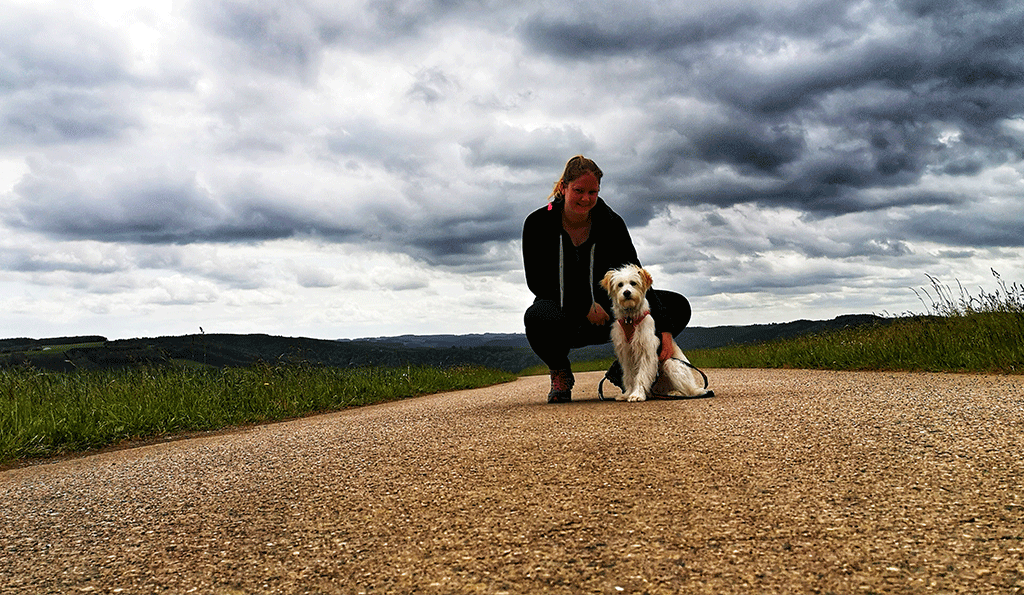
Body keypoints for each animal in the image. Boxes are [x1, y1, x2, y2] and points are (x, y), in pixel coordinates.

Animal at [598, 266, 712, 401]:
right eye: (620, 284)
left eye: (633, 283)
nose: (626, 293)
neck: (630, 319)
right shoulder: (626, 355)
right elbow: (629, 377)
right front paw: (628, 393)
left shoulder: (646, 352)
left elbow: (641, 375)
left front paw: (637, 394)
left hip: (671, 364)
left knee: (691, 391)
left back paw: (679, 393)